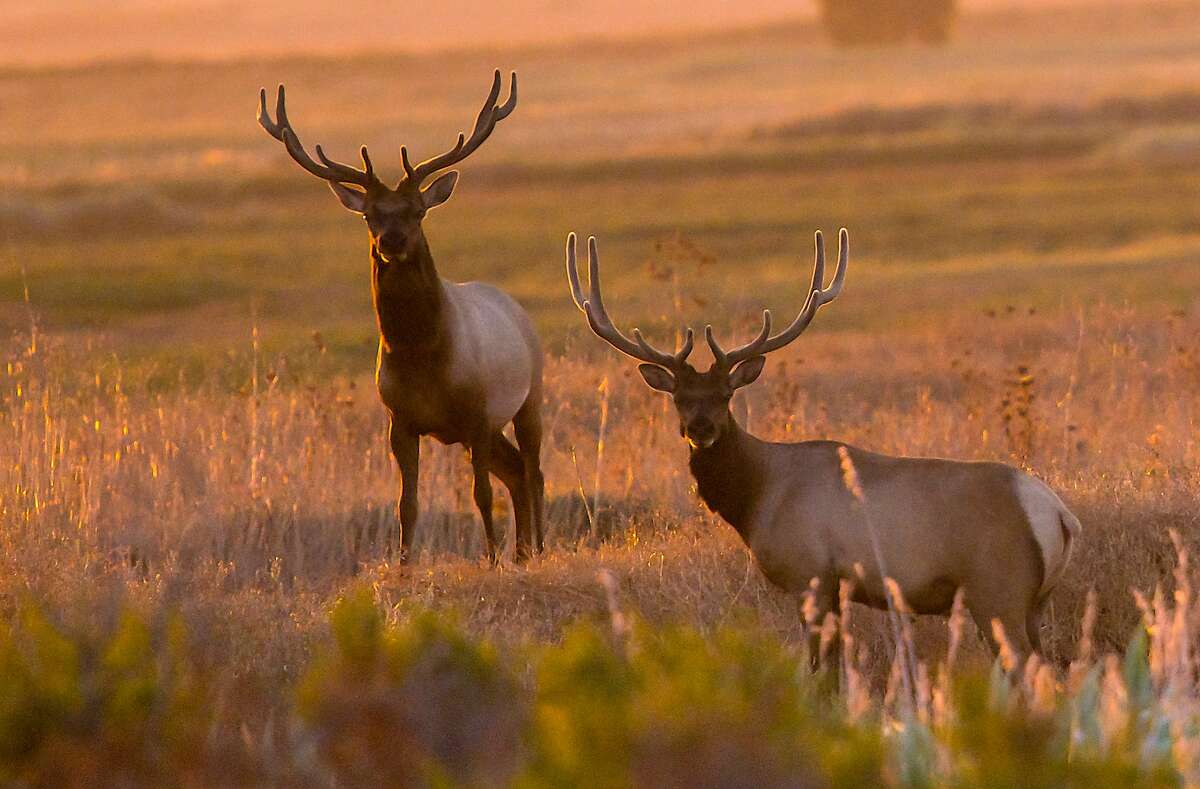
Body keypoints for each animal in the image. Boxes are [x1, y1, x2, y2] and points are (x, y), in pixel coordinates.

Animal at [262, 70, 549, 561]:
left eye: (418, 211)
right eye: (369, 216)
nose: (392, 241)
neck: (423, 357)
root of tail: (514, 307)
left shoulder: (476, 414)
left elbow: (480, 495)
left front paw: (491, 559)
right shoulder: (400, 420)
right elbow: (406, 504)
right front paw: (404, 565)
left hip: (530, 397)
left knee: (533, 470)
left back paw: (535, 548)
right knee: (514, 470)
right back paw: (523, 551)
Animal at [566, 229, 1084, 657]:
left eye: (726, 394)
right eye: (678, 397)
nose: (701, 429)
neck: (758, 497)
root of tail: (1059, 516)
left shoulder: (812, 574)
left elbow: (822, 669)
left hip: (998, 591)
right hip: (1033, 602)